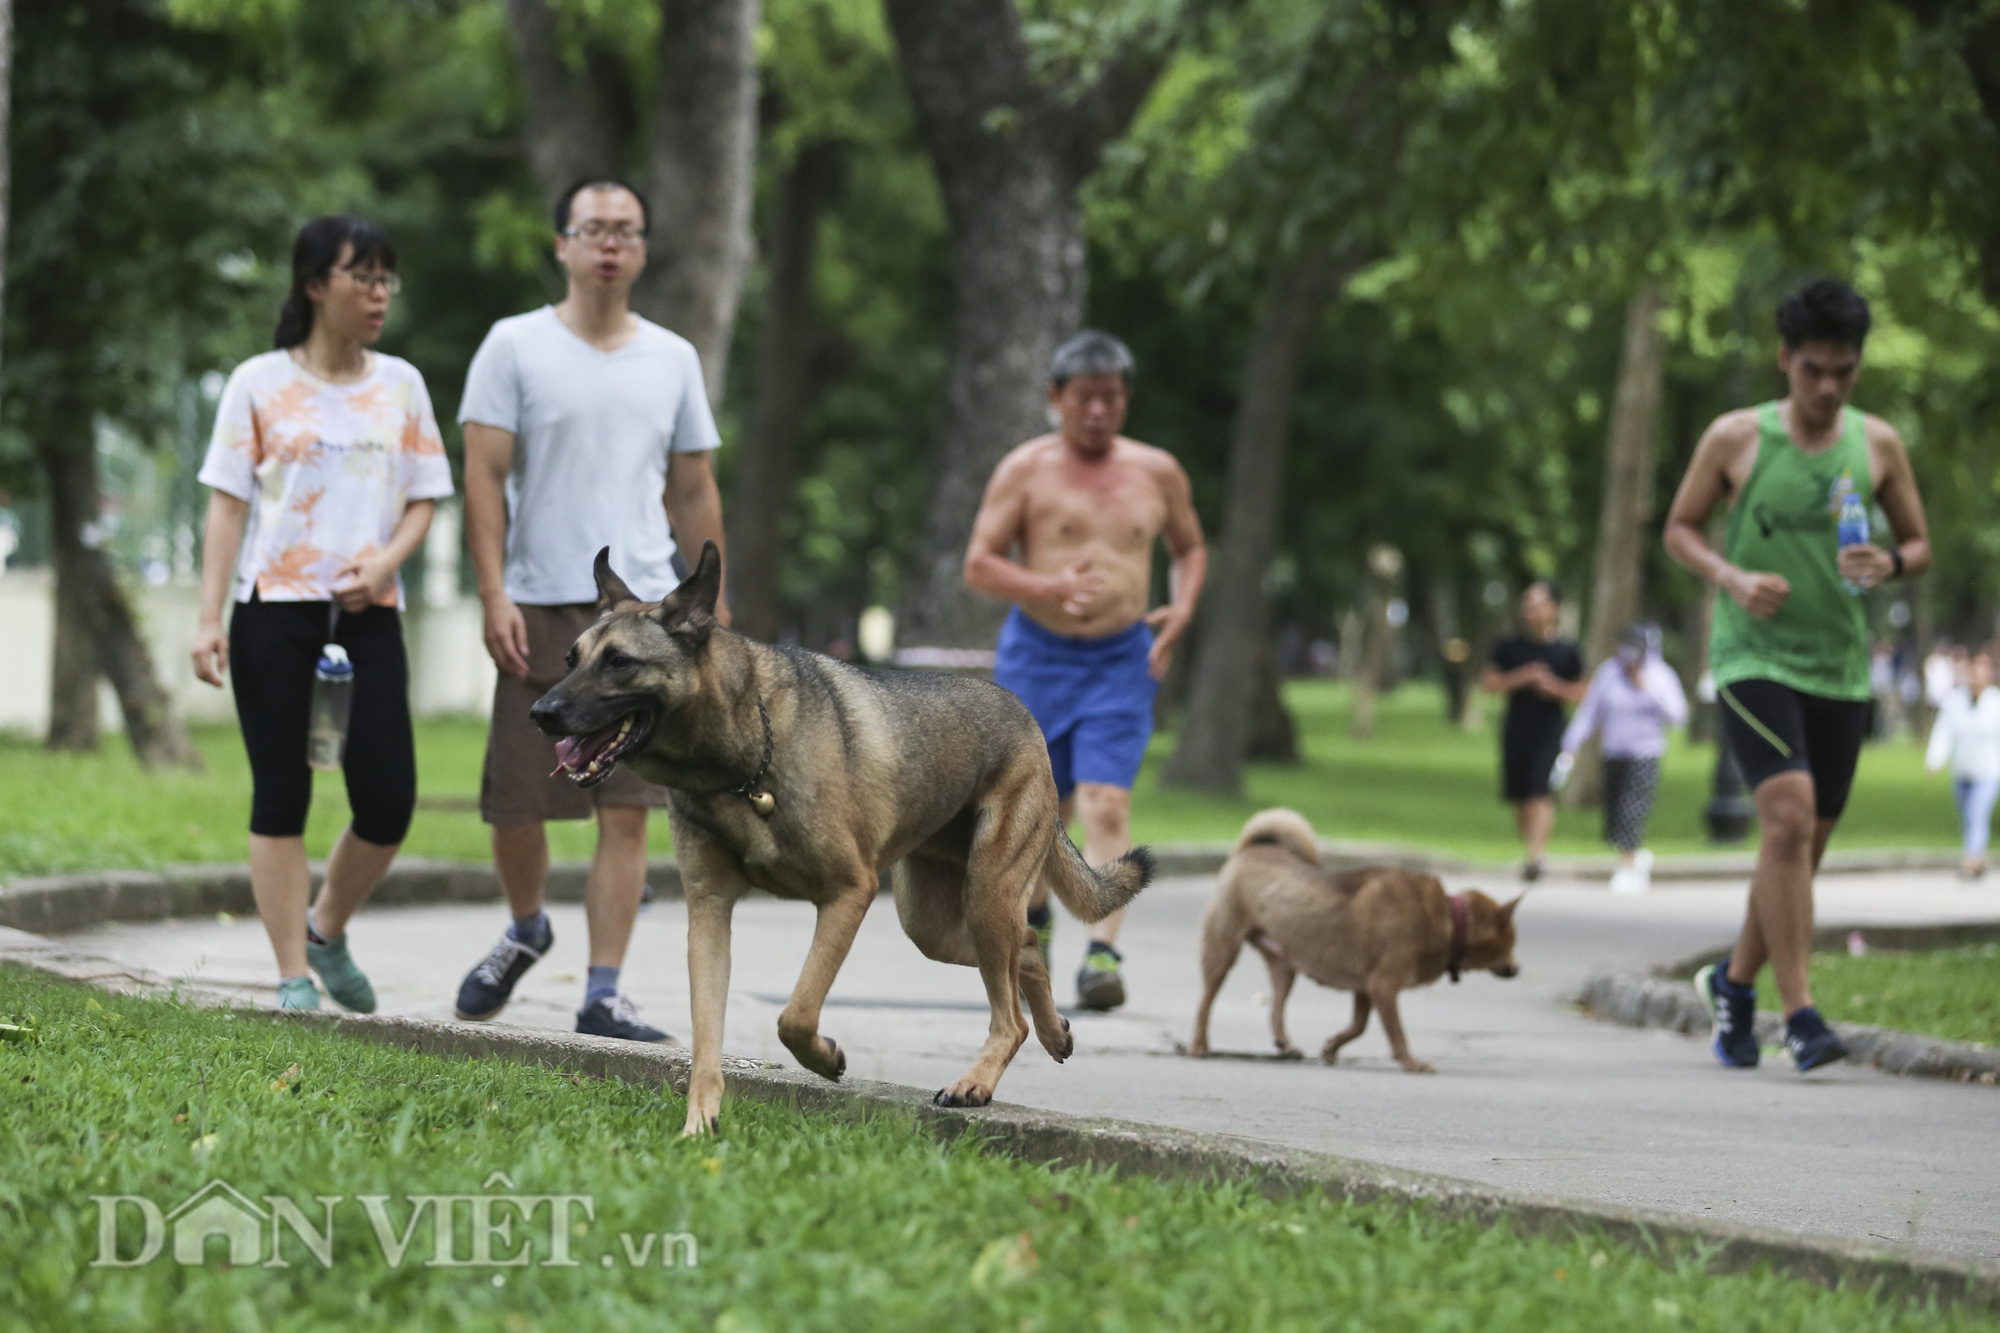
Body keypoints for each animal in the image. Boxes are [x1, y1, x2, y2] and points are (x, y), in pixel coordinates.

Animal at [528, 540, 1160, 1128]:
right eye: (570, 658)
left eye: (619, 662)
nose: (540, 713)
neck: (741, 768)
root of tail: (1026, 717)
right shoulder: (708, 912)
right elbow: (706, 1039)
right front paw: (699, 1128)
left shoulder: (848, 894)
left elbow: (795, 1014)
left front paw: (825, 1058)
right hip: (934, 925)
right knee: (1025, 950)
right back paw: (1054, 1032)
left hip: (986, 895)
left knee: (1010, 1010)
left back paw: (975, 1082)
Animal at [1184, 800, 1512, 1072]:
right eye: (1511, 942)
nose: (1516, 968)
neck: (1449, 919)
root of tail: (1252, 847)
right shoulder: (1382, 986)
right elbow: (1395, 1033)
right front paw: (1410, 1062)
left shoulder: (1365, 988)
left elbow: (1358, 1026)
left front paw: (1331, 1048)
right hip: (1222, 951)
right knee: (1205, 1002)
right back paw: (1199, 1045)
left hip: (1284, 964)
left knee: (1276, 1009)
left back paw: (1285, 1045)